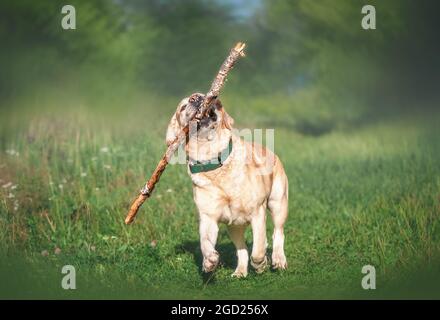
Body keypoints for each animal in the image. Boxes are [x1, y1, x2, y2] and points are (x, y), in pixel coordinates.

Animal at [166, 92, 288, 278]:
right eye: (182, 107)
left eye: (202, 95)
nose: (195, 97)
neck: (213, 160)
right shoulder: (208, 217)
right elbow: (205, 242)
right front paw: (209, 260)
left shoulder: (257, 212)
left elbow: (259, 249)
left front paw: (260, 264)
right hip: (234, 227)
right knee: (242, 249)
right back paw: (240, 272)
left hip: (278, 202)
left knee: (277, 234)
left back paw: (278, 260)